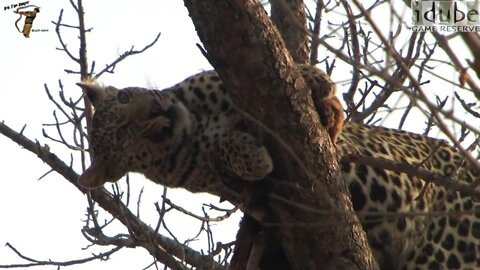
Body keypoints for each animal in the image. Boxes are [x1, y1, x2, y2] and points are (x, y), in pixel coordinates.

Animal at [77, 65, 478, 270]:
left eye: (126, 96)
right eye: (122, 136)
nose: (157, 111)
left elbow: (310, 86)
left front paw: (319, 85)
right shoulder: (226, 186)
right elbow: (229, 159)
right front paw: (251, 155)